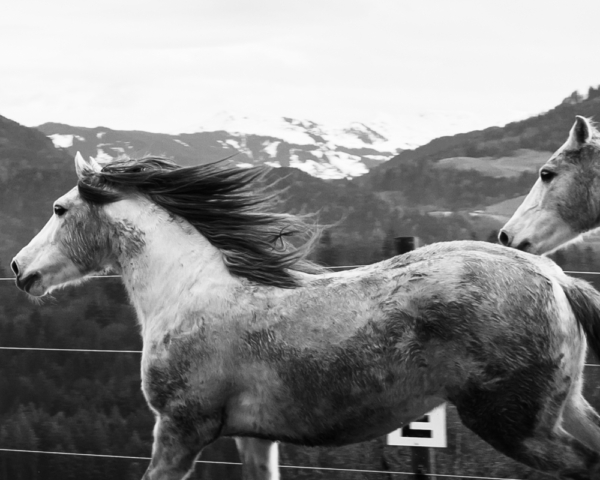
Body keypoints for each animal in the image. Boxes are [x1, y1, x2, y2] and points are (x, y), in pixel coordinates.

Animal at [9, 155, 600, 480]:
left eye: (60, 209)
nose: (19, 268)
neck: (187, 291)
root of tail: (558, 279)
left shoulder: (180, 428)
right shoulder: (254, 437)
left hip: (512, 422)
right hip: (562, 407)